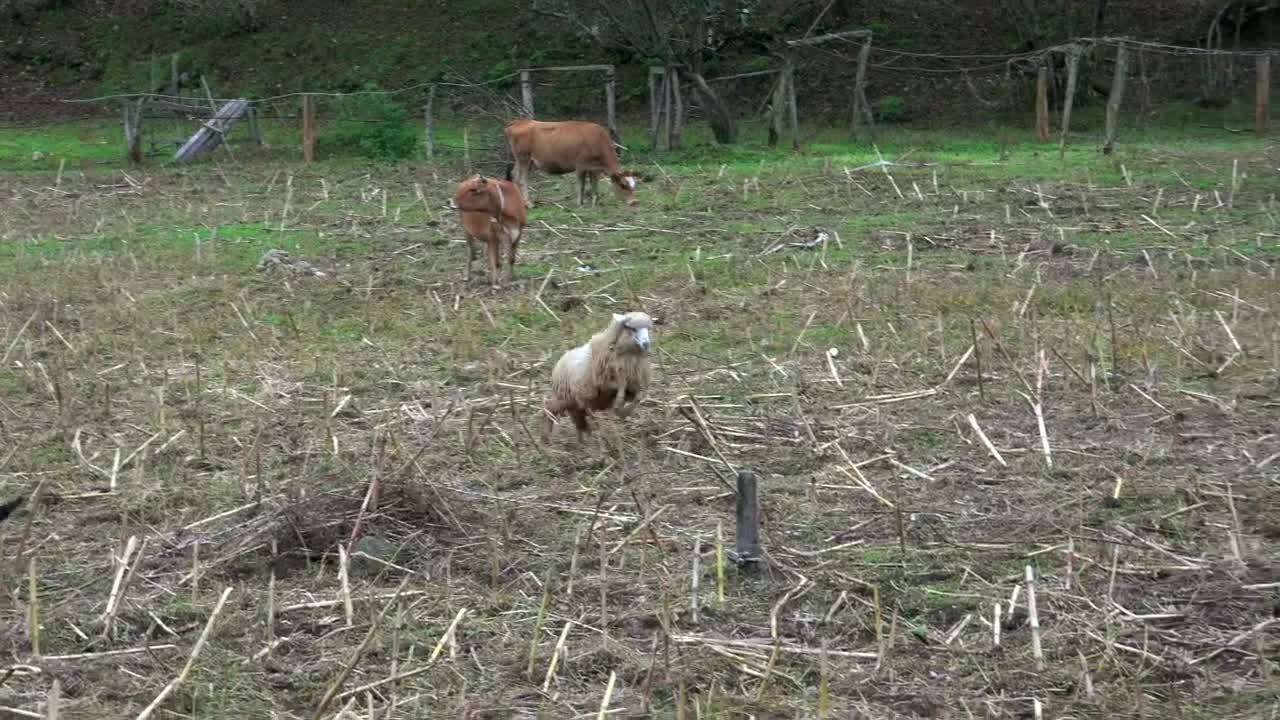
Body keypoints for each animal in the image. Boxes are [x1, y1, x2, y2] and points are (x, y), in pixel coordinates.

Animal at [504, 119, 638, 208]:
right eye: (623, 185)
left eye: (633, 185)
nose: (634, 202)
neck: (597, 140)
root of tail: (519, 121)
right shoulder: (580, 165)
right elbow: (581, 185)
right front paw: (580, 202)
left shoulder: (594, 168)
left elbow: (594, 183)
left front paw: (595, 201)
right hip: (524, 158)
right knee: (522, 179)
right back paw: (529, 203)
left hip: (523, 160)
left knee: (514, 175)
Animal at [541, 311, 654, 443]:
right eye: (632, 328)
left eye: (648, 329)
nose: (646, 344)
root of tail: (561, 360)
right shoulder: (608, 382)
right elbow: (620, 391)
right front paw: (619, 407)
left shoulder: (633, 384)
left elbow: (638, 397)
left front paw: (624, 411)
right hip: (563, 397)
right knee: (549, 408)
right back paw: (545, 438)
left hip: (575, 403)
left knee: (579, 421)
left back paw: (582, 441)